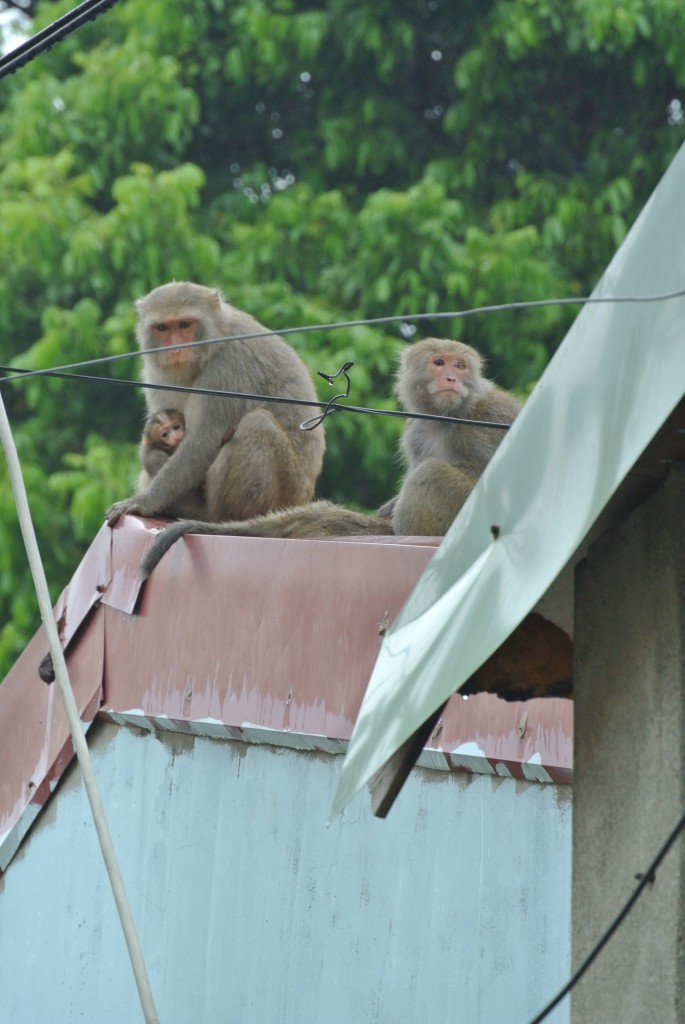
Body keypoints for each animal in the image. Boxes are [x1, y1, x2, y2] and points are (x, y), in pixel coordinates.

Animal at [105, 284, 325, 524]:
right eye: (162, 327)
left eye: (184, 324)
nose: (175, 349)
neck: (215, 341)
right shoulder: (155, 375)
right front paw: (152, 456)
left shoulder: (229, 367)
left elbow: (205, 439)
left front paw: (146, 501)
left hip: (288, 490)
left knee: (258, 423)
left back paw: (219, 515)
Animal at [141, 335, 520, 577]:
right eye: (439, 363)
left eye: (460, 365)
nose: (452, 377)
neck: (446, 416)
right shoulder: (416, 432)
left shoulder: (483, 418)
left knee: (432, 476)